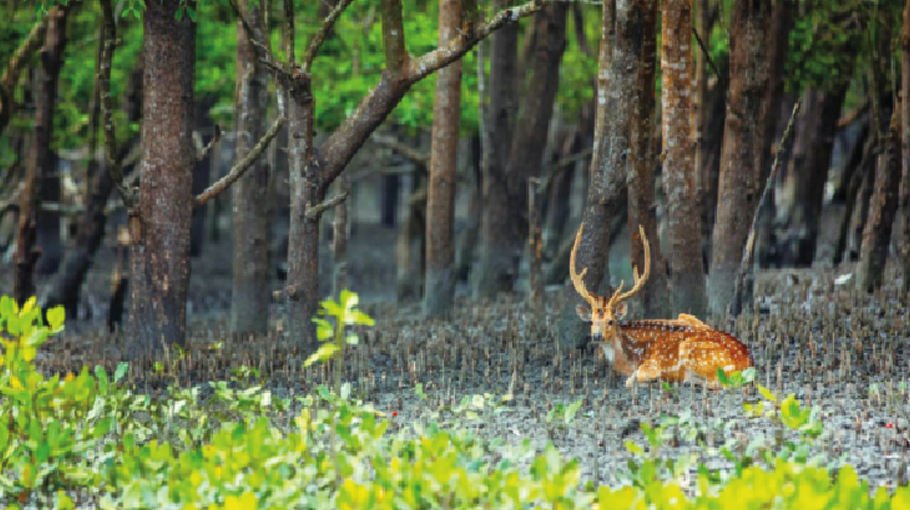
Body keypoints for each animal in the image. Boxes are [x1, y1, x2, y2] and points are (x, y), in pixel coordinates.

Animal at [568, 222, 756, 386]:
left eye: (610, 321)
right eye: (592, 321)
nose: (597, 336)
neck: (628, 357)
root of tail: (747, 363)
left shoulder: (653, 365)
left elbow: (633, 379)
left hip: (691, 349)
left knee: (717, 383)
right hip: (686, 317)